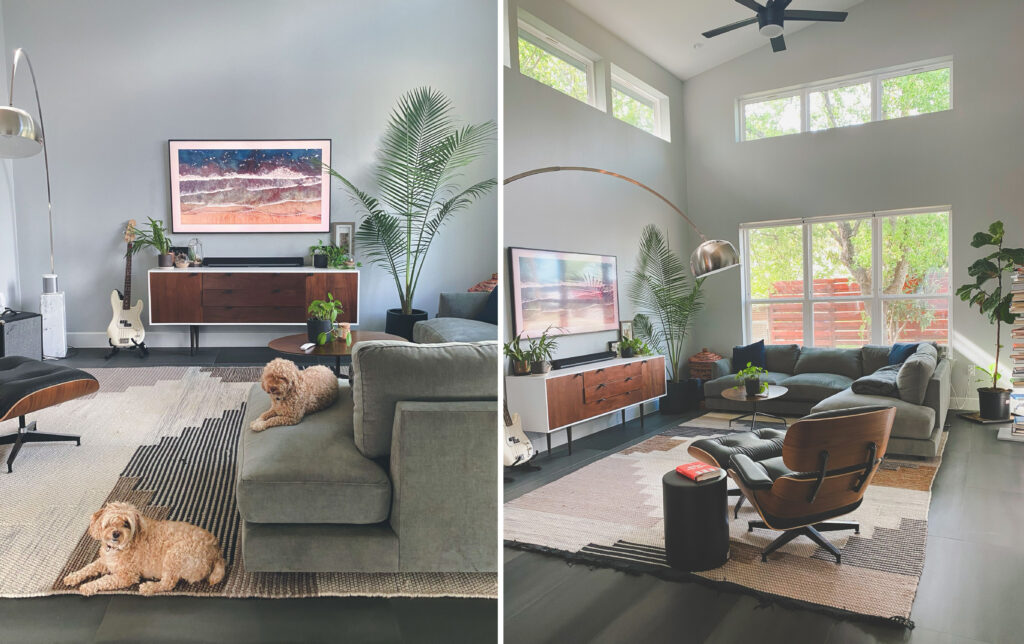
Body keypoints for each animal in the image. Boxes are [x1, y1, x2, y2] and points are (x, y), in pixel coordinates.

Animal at [64, 499, 226, 593]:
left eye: (126, 524)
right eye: (110, 522)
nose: (116, 533)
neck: (120, 547)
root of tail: (216, 551)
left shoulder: (127, 576)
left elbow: (104, 580)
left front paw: (87, 586)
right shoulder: (105, 561)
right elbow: (88, 567)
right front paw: (73, 577)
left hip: (175, 555)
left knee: (168, 583)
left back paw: (149, 587)